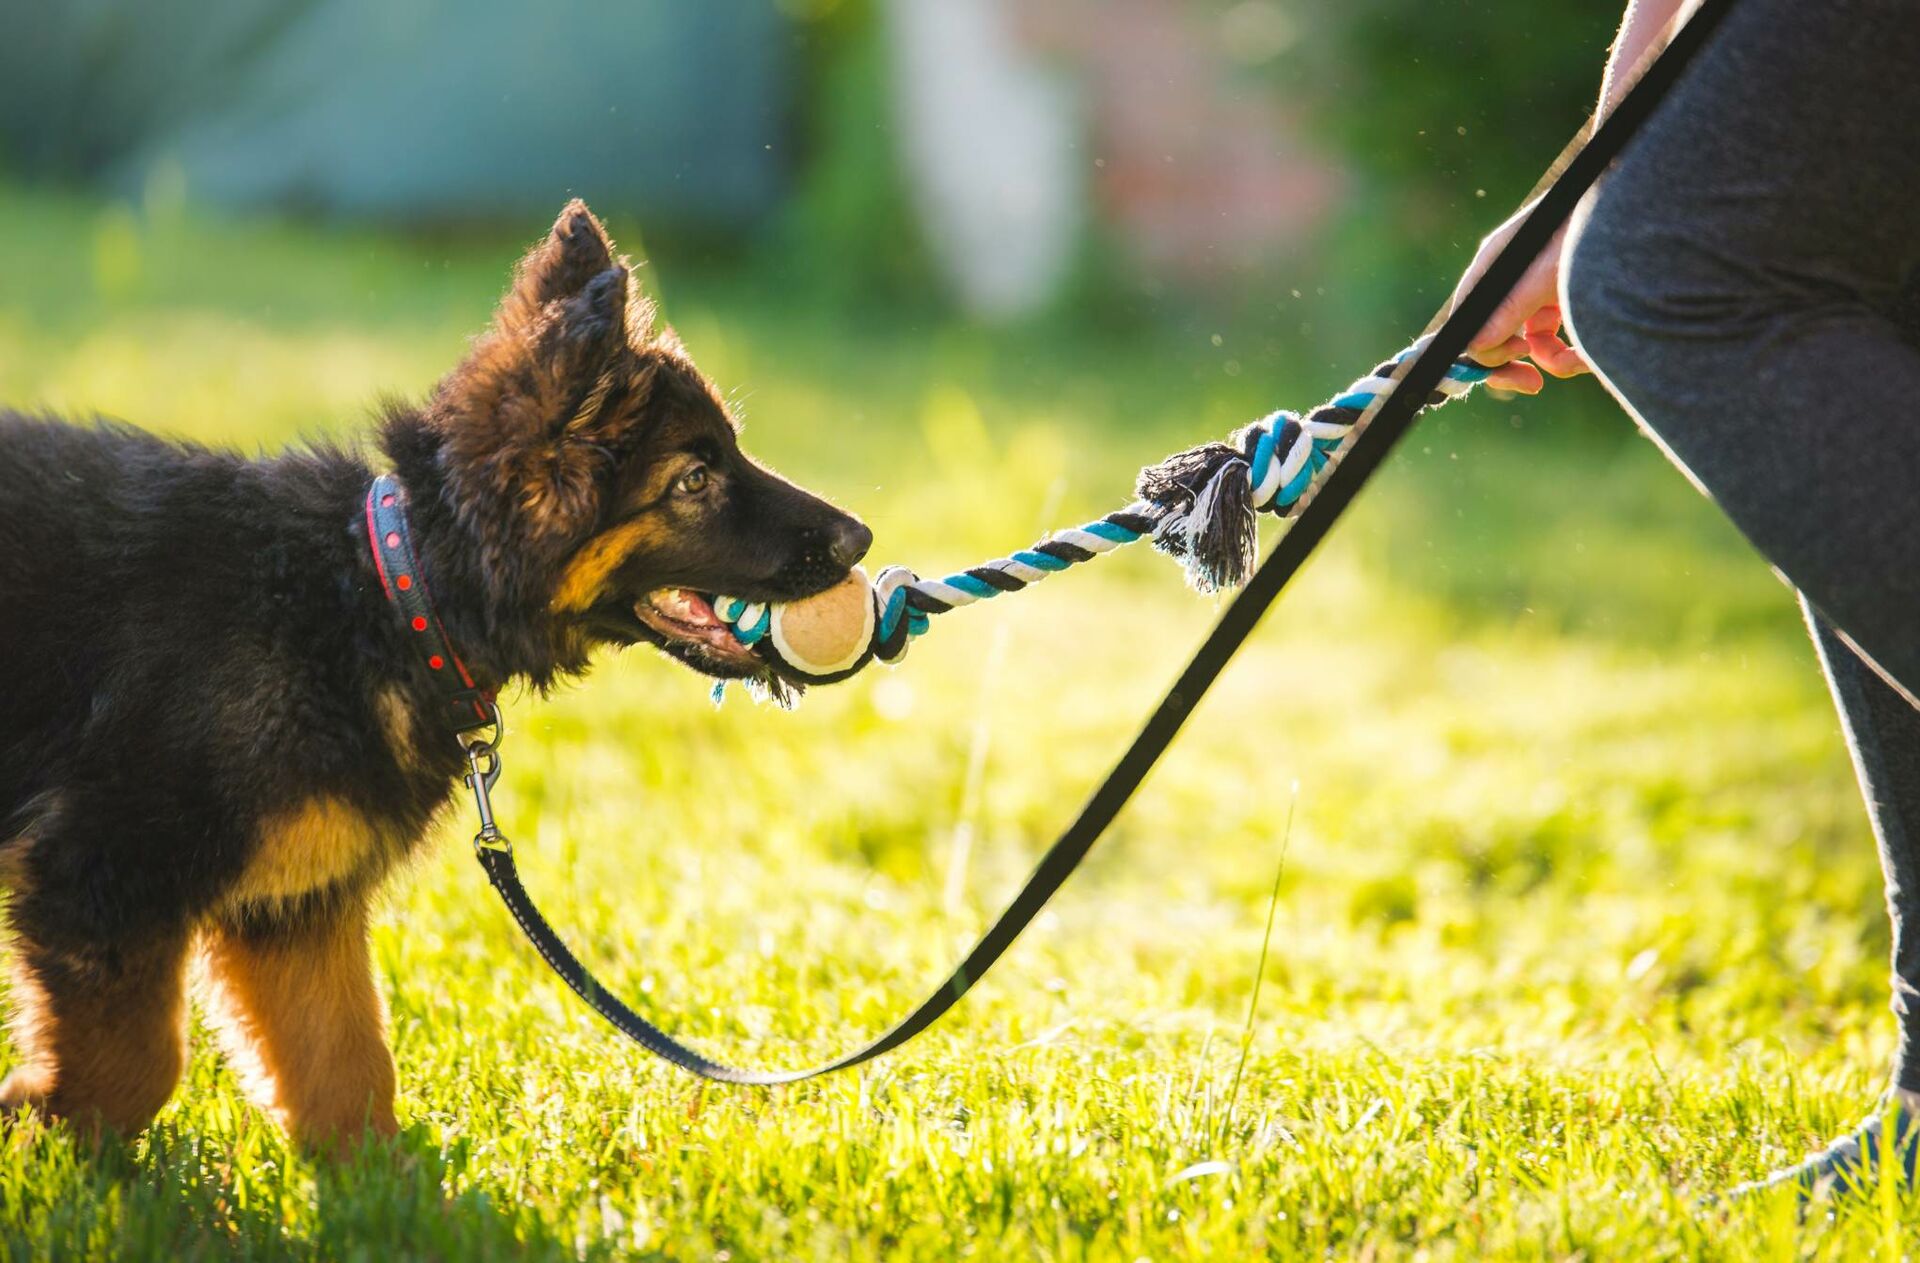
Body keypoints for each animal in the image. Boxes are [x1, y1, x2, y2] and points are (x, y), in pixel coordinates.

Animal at [0, 201, 871, 1143]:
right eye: (695, 478)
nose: (861, 538)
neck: (380, 591)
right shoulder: (101, 868)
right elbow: (138, 1068)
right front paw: (39, 1120)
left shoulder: (294, 908)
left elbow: (349, 1073)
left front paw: (380, 1178)